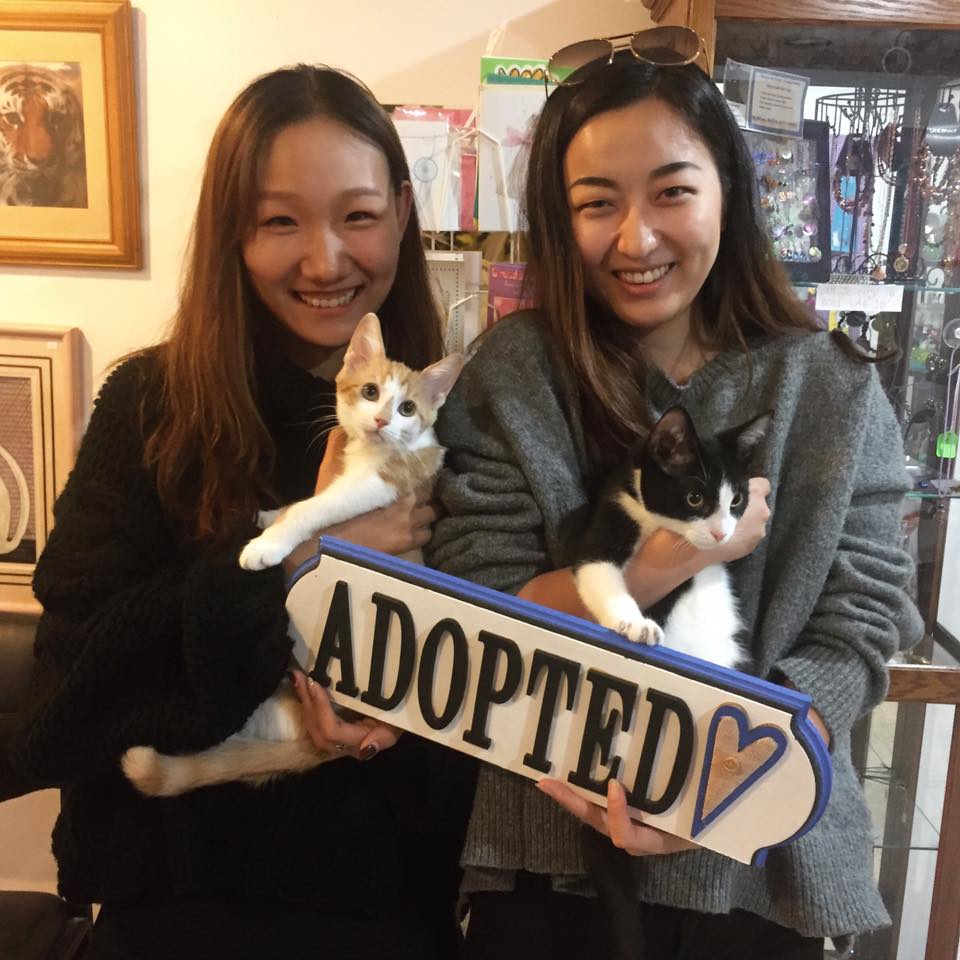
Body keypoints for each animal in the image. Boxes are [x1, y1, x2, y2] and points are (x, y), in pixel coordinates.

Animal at [118, 314, 464, 796]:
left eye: (408, 409)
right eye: (370, 391)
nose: (380, 420)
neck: (371, 451)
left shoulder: (381, 485)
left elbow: (313, 506)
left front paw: (267, 544)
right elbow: (298, 502)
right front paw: (265, 516)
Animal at [572, 404, 768, 668]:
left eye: (736, 499)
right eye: (695, 498)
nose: (720, 534)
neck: (655, 521)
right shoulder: (616, 504)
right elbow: (596, 566)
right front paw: (636, 624)